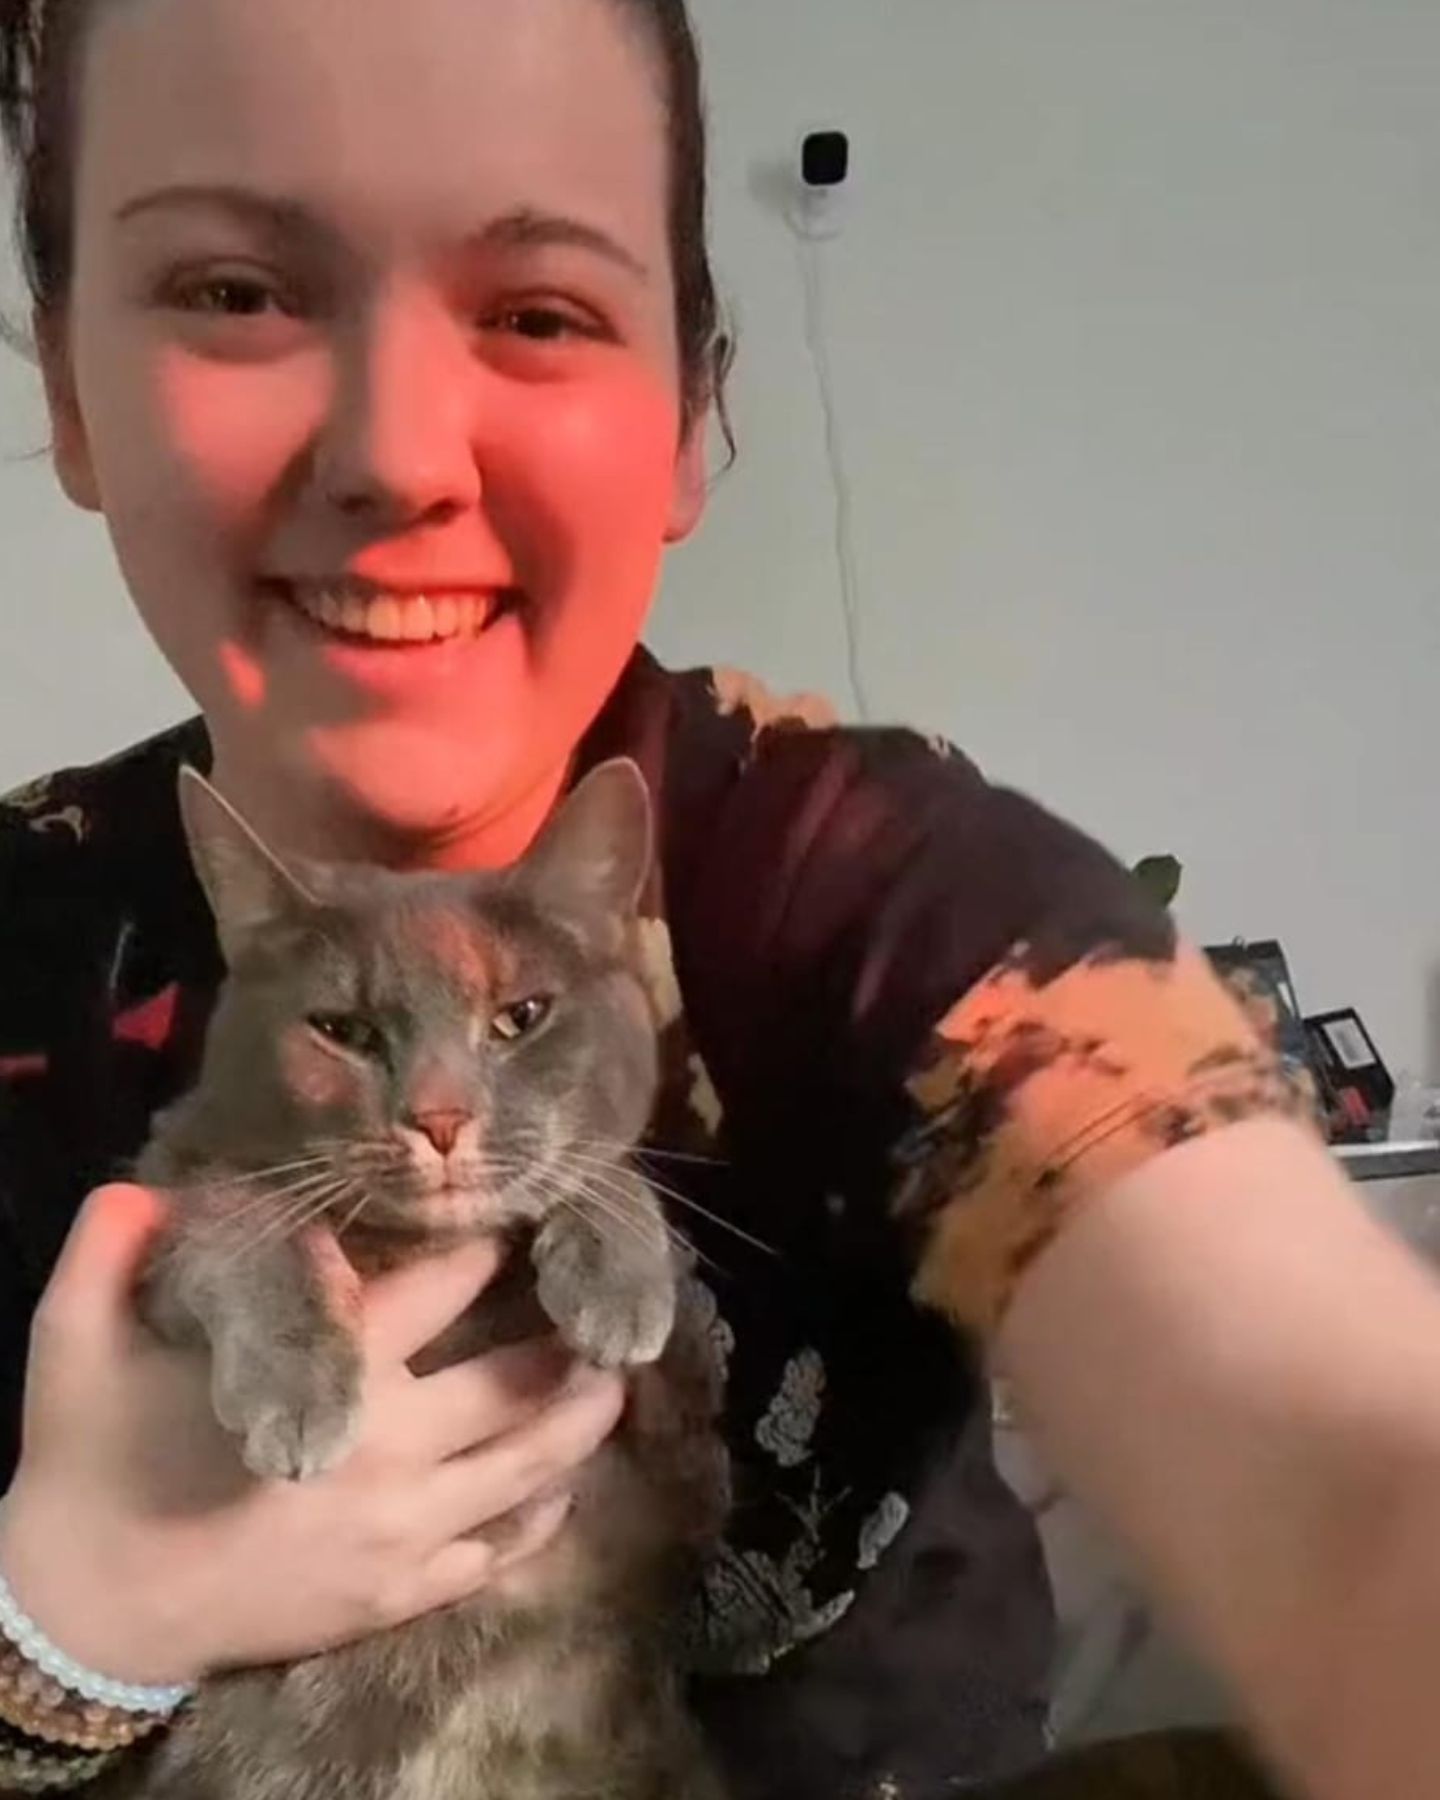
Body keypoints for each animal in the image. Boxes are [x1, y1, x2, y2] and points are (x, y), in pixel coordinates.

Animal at [115, 759, 730, 1800]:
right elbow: (240, 1212)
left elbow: (613, 1180)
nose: (439, 1117)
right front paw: (298, 1394)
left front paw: (617, 1279)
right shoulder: (164, 1193)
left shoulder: (686, 1481)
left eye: (521, 1018)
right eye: (343, 1030)